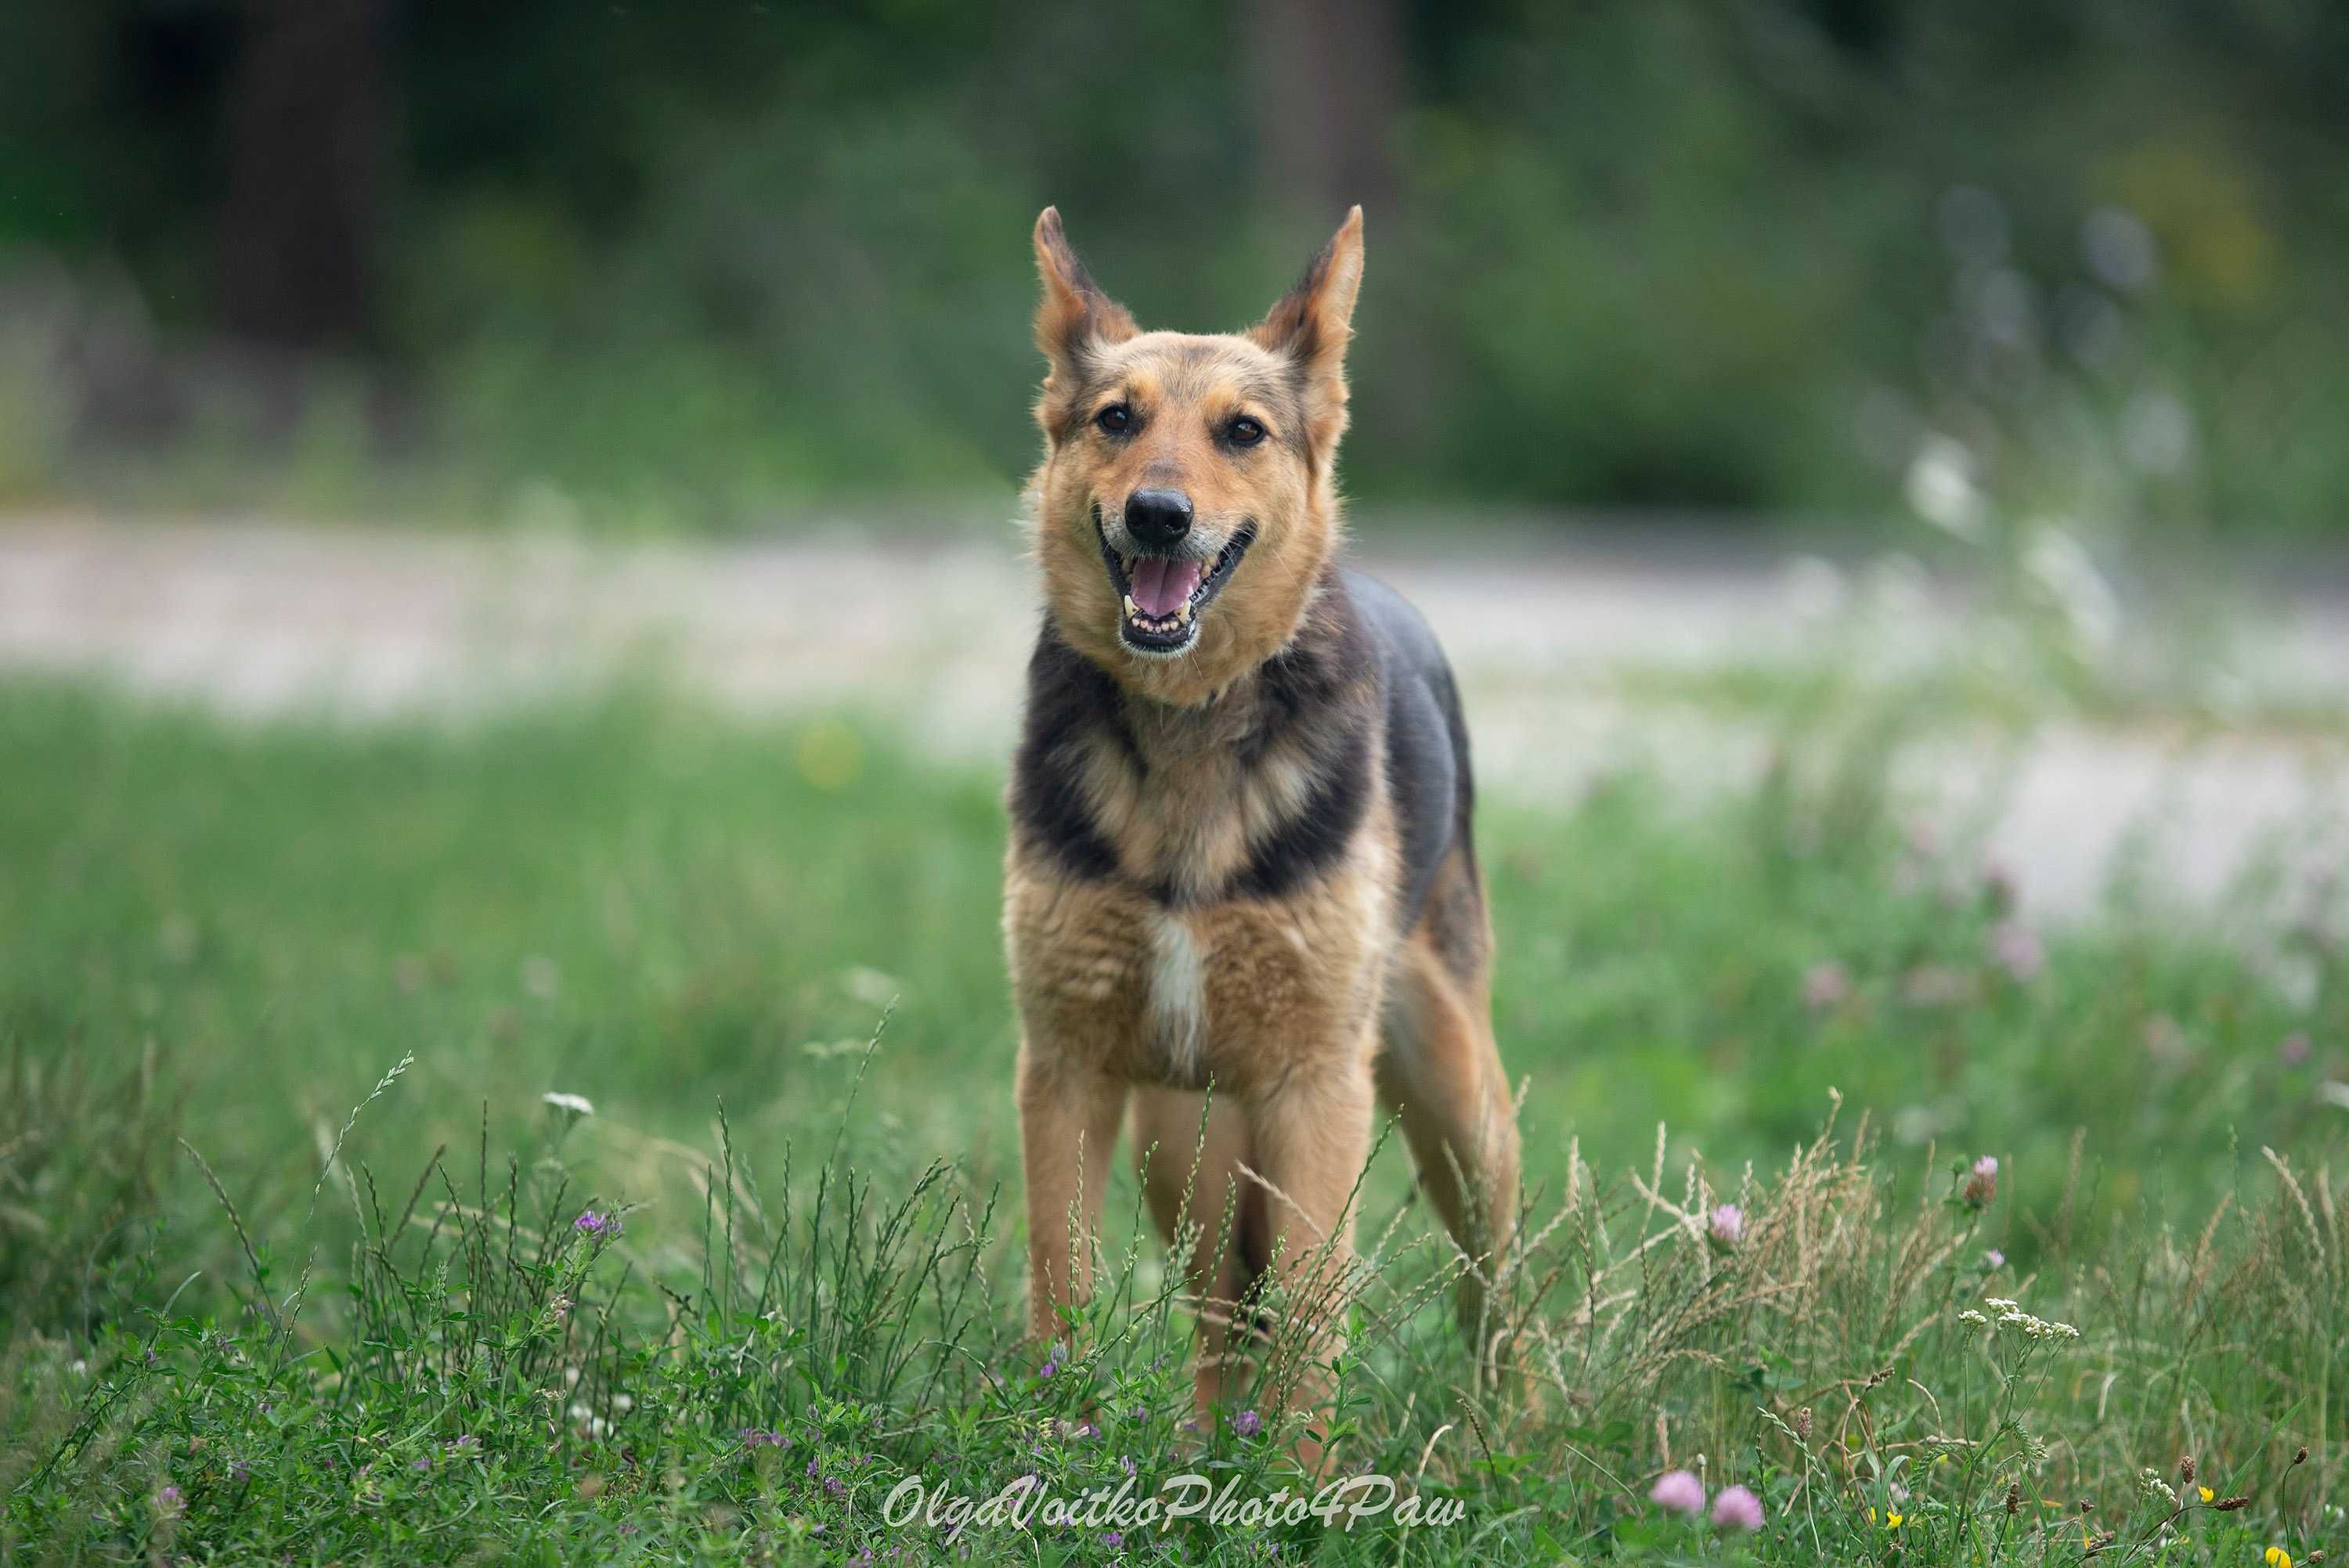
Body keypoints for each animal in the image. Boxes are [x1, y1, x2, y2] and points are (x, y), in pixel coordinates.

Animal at [996, 207, 1513, 1455]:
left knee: (1494, 1291)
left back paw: (1512, 1436)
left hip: (1459, 1108)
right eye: (1116, 419)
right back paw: (1201, 1445)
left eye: (1243, 431)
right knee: (1221, 1304)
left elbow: (1317, 1316)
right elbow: (1061, 1284)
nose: (1159, 515)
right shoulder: (1067, 1071)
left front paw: (1299, 1483)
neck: (1191, 718)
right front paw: (1047, 1455)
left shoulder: (1315, 1089)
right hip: (1177, 1135)